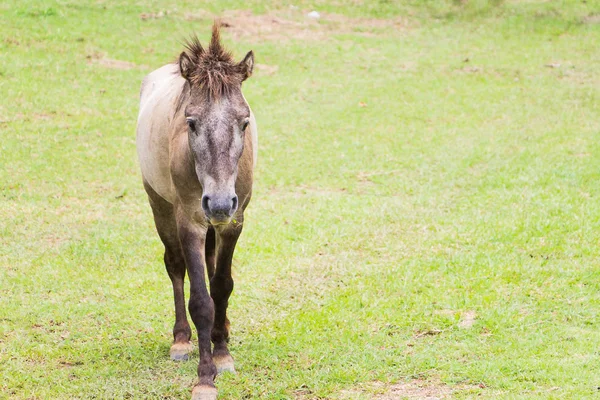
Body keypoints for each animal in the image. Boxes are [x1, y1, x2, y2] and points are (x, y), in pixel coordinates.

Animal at [136, 22, 258, 400]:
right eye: (191, 122)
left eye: (244, 122)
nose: (218, 203)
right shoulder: (189, 222)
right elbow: (201, 301)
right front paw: (205, 378)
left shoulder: (233, 222)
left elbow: (222, 286)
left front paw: (222, 354)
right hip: (160, 207)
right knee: (176, 266)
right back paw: (181, 340)